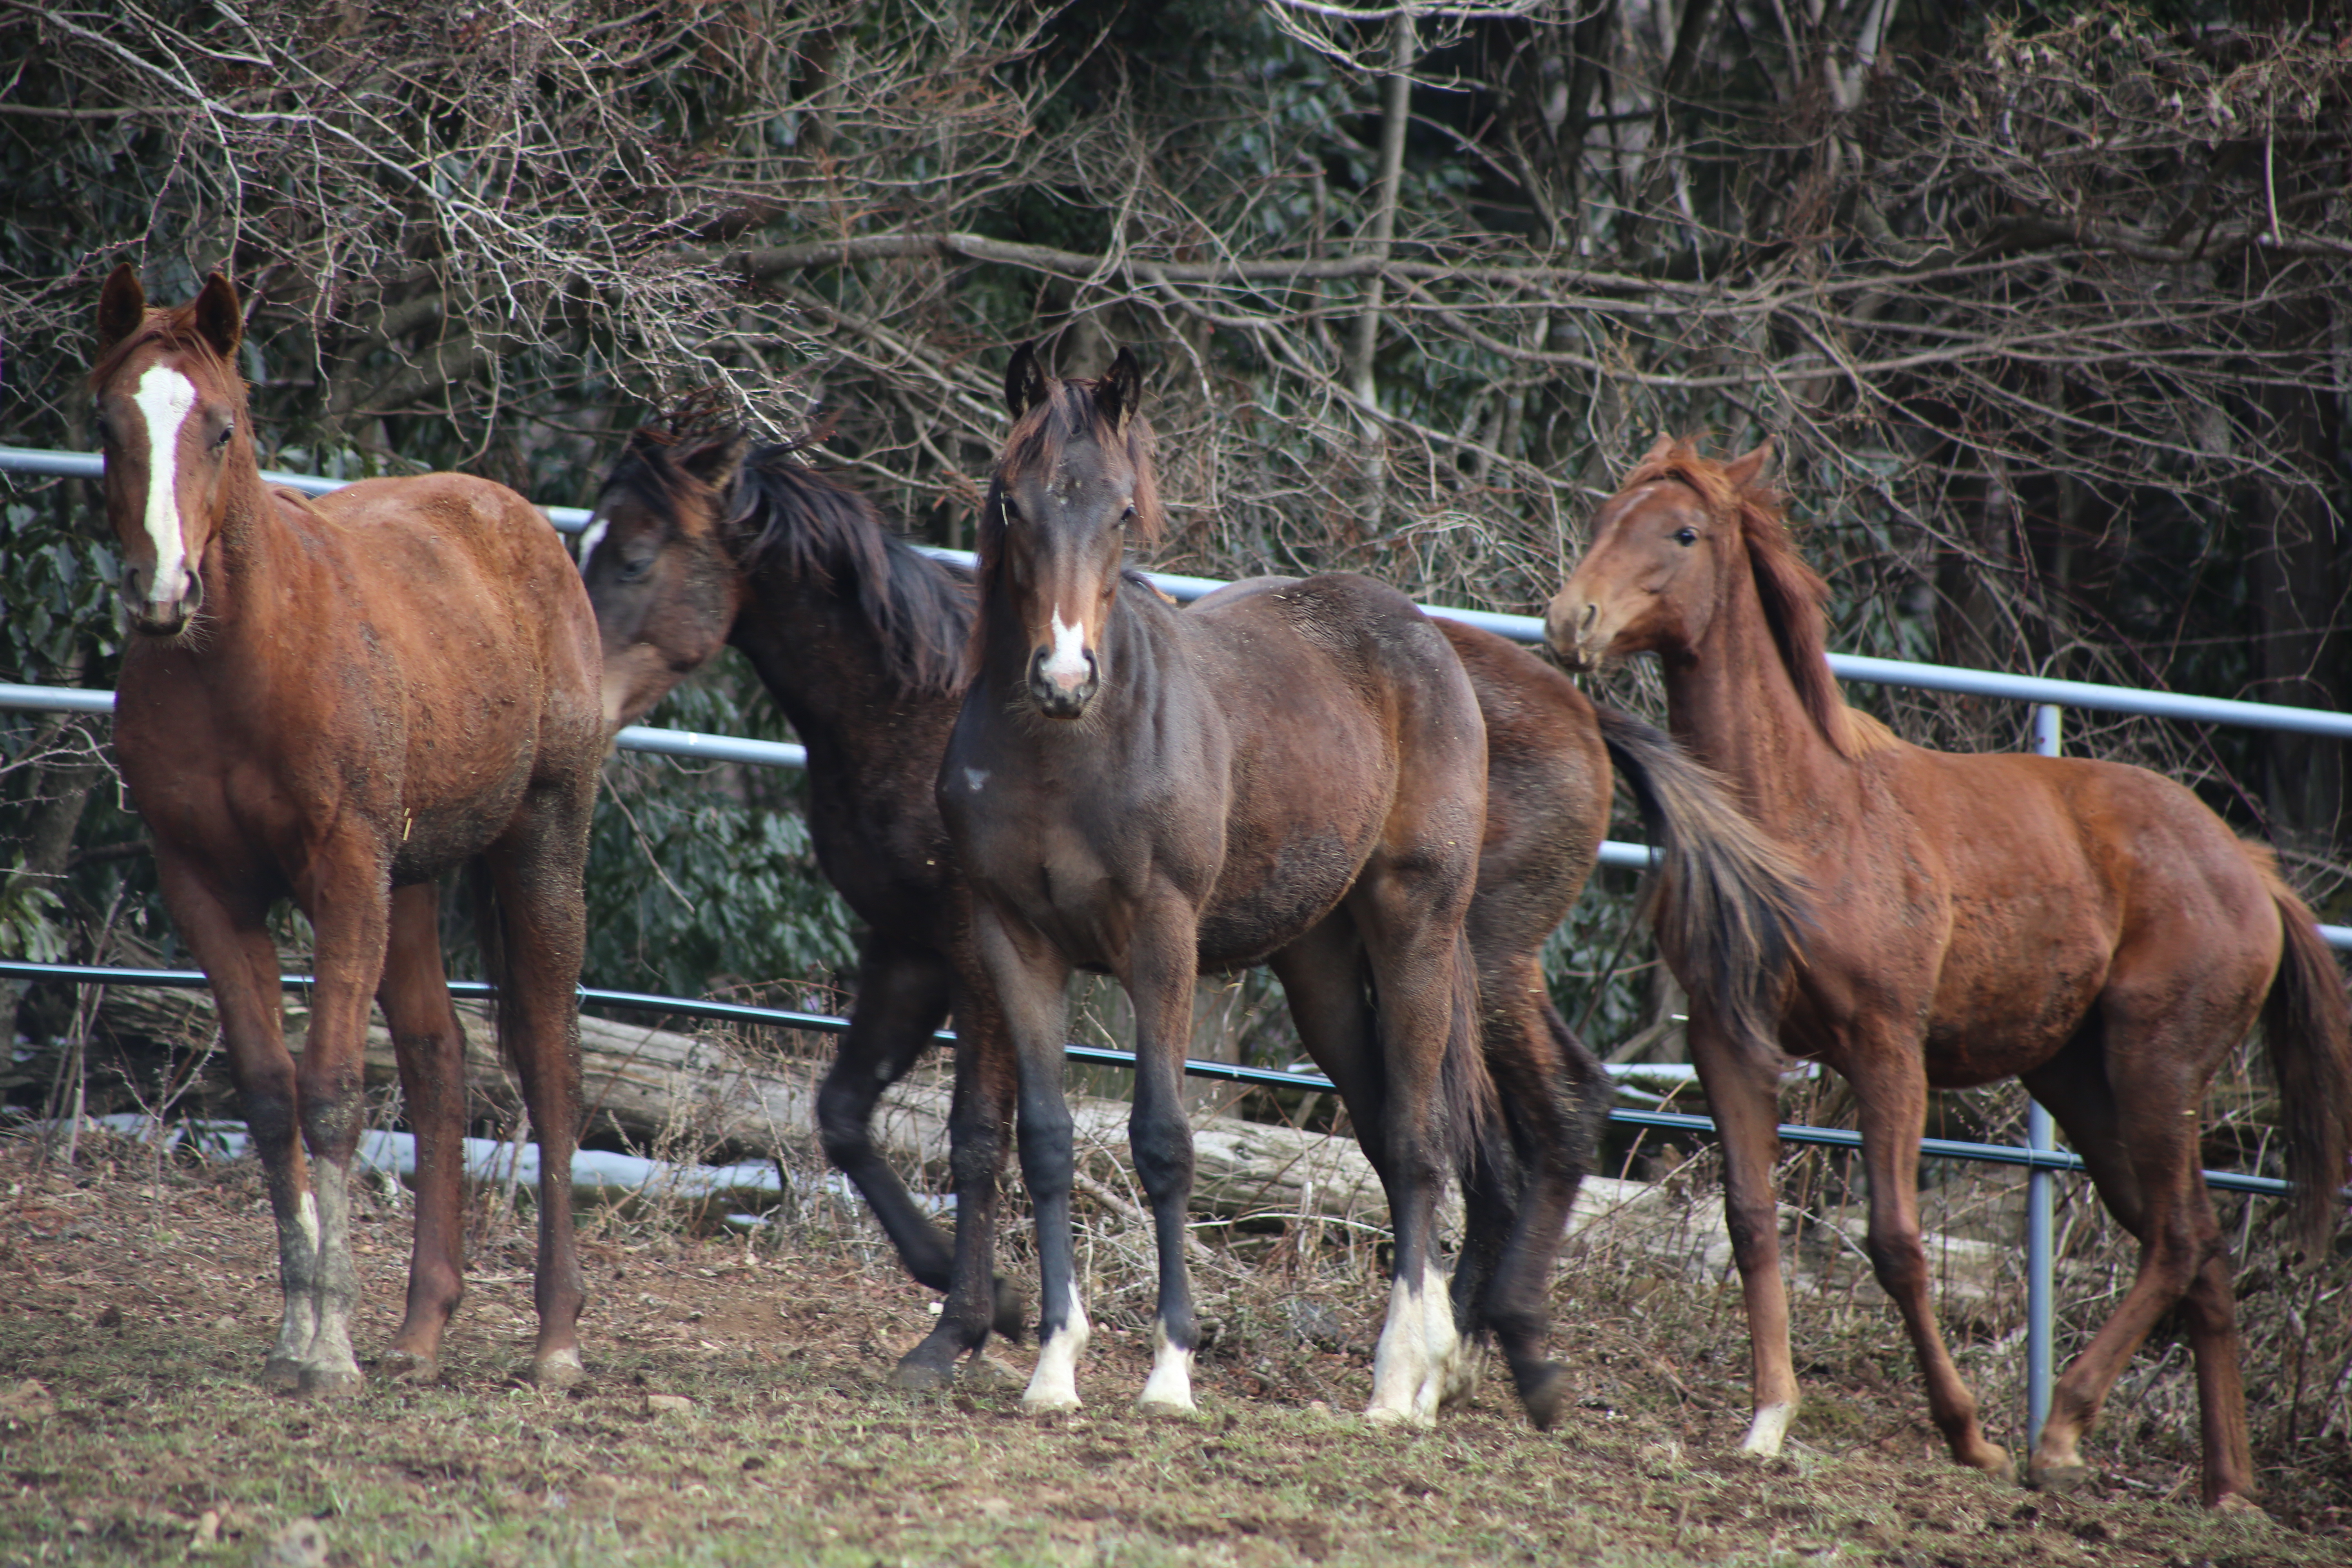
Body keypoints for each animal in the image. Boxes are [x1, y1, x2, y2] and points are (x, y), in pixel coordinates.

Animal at [86, 267, 607, 1401]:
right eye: (109, 424)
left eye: (223, 427)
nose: (163, 591)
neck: (239, 659)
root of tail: (522, 524)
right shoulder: (205, 886)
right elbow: (271, 1095)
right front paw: (300, 1330)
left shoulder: (343, 871)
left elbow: (329, 1092)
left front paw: (328, 1349)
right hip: (410, 881)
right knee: (440, 1061)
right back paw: (418, 1331)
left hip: (539, 839)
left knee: (551, 1068)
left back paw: (555, 1339)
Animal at [588, 409, 1797, 1439]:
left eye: (634, 558)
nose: (574, 694)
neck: (915, 693)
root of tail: (1578, 708)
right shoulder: (910, 948)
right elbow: (847, 1115)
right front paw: (992, 1310)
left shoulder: (968, 954)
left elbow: (974, 1137)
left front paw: (973, 1323)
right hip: (1336, 977)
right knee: (1448, 1135)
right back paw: (1458, 1357)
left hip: (1470, 955)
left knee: (1523, 1117)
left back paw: (1486, 1359)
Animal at [1543, 439, 2352, 1504]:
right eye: (1602, 517)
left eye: (1680, 532)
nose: (1571, 621)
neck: (1802, 815)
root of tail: (2251, 870)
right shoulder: (1729, 1038)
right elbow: (1750, 1220)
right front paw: (1767, 1420)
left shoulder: (1885, 1047)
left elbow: (1895, 1241)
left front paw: (1967, 1435)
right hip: (2083, 1086)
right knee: (2200, 1252)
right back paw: (2224, 1490)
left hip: (2159, 1070)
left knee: (2179, 1242)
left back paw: (2058, 1433)